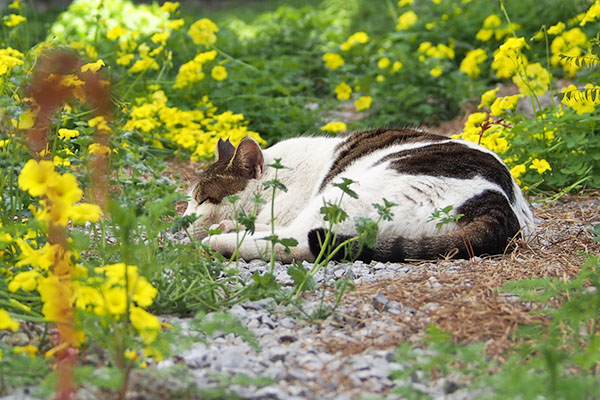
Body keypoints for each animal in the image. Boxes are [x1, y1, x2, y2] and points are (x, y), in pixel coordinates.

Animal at [184, 130, 536, 264]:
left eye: (202, 200)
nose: (182, 221)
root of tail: (497, 203)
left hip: (345, 194)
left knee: (298, 243)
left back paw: (219, 240)